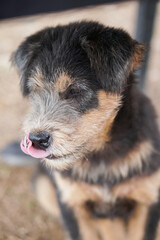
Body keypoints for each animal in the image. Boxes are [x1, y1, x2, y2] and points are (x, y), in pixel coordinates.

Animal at [12, 21, 160, 239]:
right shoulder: (72, 204)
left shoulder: (147, 201)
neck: (102, 156)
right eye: (34, 91)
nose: (37, 140)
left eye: (75, 91)